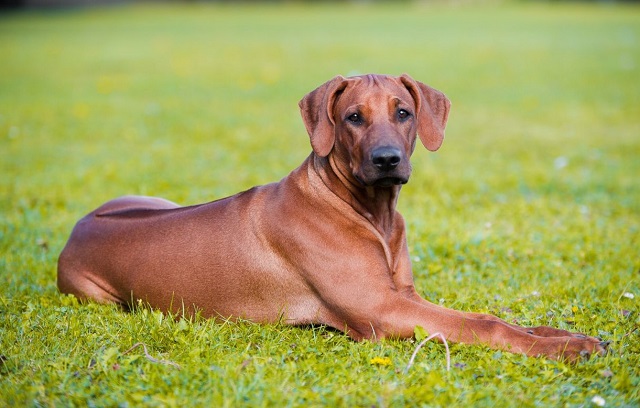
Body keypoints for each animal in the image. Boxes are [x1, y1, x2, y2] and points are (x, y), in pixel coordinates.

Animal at [56, 73, 604, 360]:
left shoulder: (405, 295)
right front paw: (564, 348)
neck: (370, 212)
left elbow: (498, 318)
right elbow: (487, 324)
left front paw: (566, 337)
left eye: (403, 112)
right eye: (353, 117)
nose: (386, 159)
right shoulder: (384, 310)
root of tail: (77, 229)